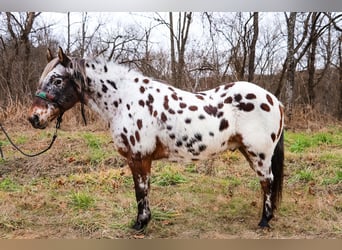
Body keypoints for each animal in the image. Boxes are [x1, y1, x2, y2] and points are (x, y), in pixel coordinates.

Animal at [28, 47, 284, 230]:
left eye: (57, 80)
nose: (34, 117)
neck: (125, 100)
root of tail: (274, 100)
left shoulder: (139, 157)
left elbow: (140, 191)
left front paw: (140, 224)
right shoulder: (138, 159)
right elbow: (142, 190)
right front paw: (143, 221)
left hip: (259, 154)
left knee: (267, 182)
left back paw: (264, 221)